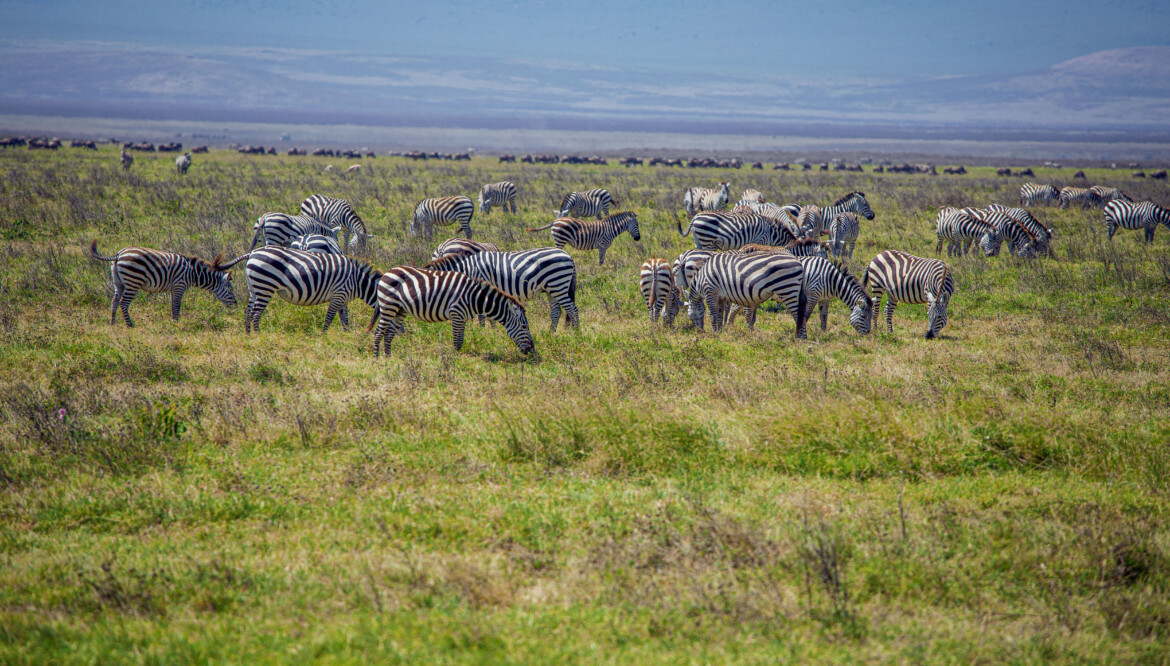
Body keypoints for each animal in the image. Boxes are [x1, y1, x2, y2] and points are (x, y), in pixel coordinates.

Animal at [87, 238, 239, 327]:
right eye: (231, 289)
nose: (236, 306)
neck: (193, 273)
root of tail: (118, 255)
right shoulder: (179, 285)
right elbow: (177, 306)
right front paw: (176, 324)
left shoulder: (174, 288)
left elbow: (173, 306)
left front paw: (173, 322)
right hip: (133, 281)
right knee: (124, 303)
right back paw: (130, 325)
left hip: (118, 282)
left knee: (114, 301)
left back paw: (112, 323)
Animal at [243, 246, 383, 332]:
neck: (357, 281)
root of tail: (252, 253)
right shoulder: (339, 294)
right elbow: (329, 317)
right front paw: (324, 336)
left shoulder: (343, 299)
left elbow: (345, 320)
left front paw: (346, 335)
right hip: (265, 286)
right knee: (255, 314)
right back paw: (258, 335)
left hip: (254, 287)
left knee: (248, 311)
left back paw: (248, 335)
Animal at [369, 265, 535, 358]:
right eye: (524, 327)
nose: (532, 350)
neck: (474, 297)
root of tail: (387, 272)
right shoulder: (456, 312)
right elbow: (457, 341)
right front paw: (455, 358)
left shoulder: (463, 317)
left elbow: (460, 339)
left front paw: (457, 356)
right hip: (388, 305)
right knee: (378, 332)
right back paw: (377, 359)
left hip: (400, 309)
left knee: (389, 333)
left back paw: (389, 357)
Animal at [425, 246, 580, 330]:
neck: (468, 269)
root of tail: (568, 255)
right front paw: (493, 331)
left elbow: (482, 315)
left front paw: (484, 331)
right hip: (551, 289)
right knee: (556, 311)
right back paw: (551, 333)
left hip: (558, 284)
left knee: (572, 309)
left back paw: (575, 333)